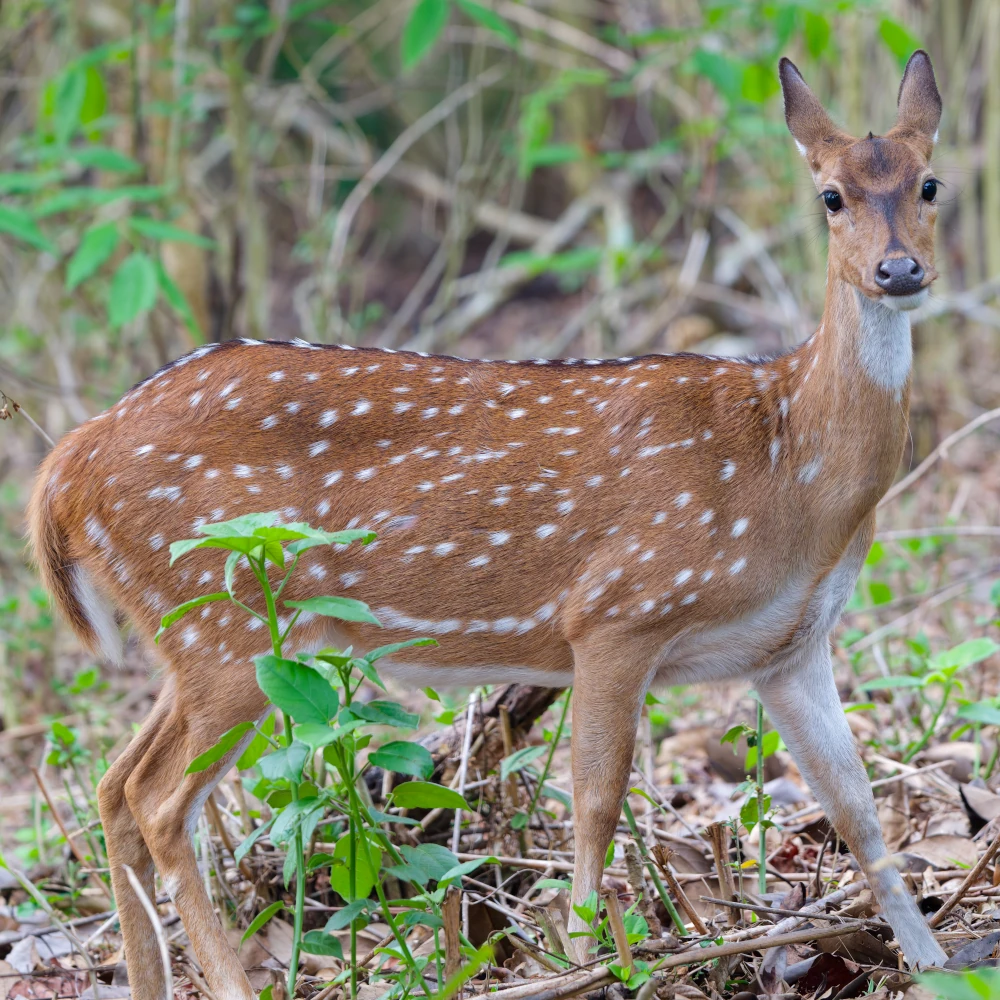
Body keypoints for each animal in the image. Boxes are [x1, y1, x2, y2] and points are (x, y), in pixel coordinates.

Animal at [27, 50, 948, 1000]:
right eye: (831, 196)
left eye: (929, 183)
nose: (899, 271)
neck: (790, 472)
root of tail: (69, 462)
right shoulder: (619, 609)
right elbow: (595, 801)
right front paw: (583, 961)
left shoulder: (790, 645)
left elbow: (855, 800)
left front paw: (931, 958)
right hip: (226, 618)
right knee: (158, 800)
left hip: (193, 634)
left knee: (114, 785)